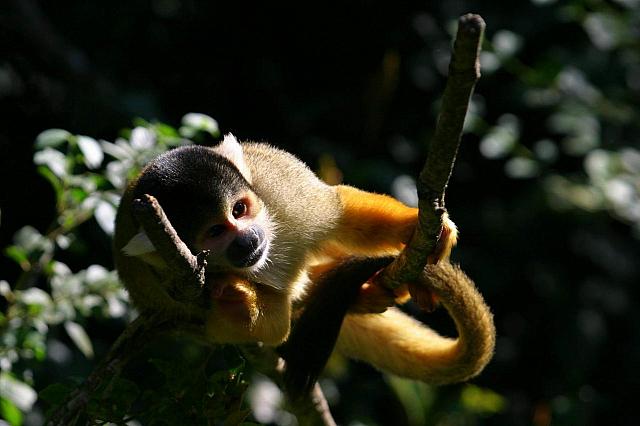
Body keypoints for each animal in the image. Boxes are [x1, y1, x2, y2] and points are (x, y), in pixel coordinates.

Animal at [113, 134, 494, 392]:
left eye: (239, 209)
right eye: (215, 232)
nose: (247, 240)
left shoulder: (278, 186)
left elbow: (339, 211)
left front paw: (411, 225)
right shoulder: (173, 283)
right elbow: (269, 328)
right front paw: (238, 299)